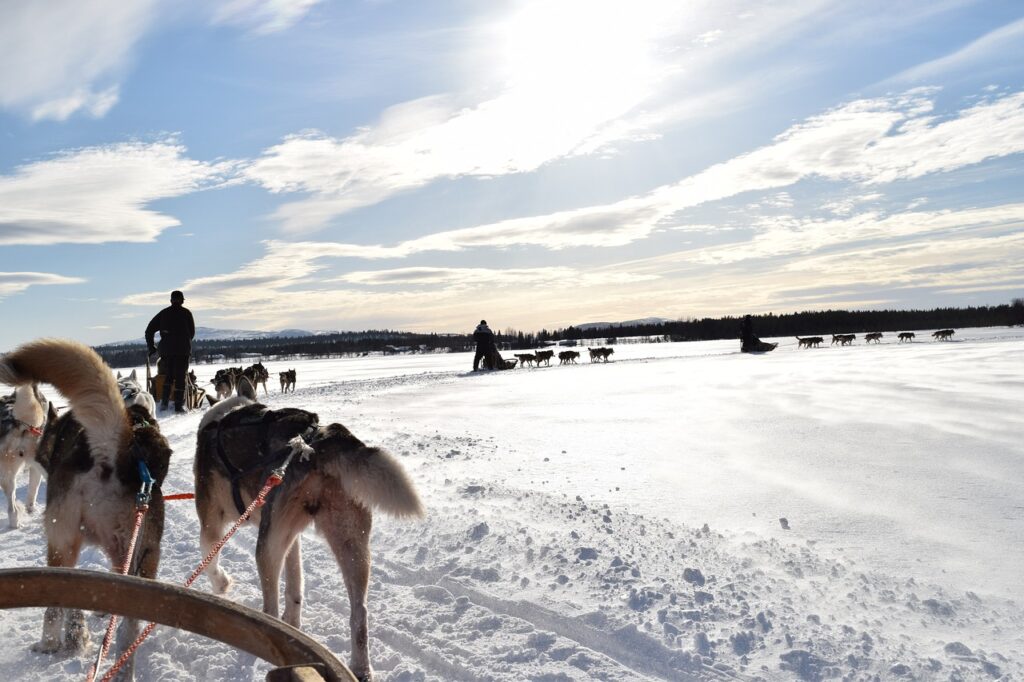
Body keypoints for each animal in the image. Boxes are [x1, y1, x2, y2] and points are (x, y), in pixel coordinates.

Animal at [193, 376, 421, 679]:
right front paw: (294, 625)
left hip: (266, 548)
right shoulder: (291, 537)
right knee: (359, 613)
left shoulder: (211, 523)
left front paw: (221, 584)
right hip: (350, 543)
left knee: (270, 608)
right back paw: (360, 667)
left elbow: (209, 558)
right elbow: (295, 586)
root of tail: (316, 443)